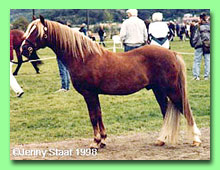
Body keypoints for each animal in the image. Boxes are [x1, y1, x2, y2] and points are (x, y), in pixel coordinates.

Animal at [20, 16, 201, 149]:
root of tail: (172, 54)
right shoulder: (94, 94)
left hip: (172, 90)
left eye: (36, 31)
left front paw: (95, 142)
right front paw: (103, 140)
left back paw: (195, 139)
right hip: (159, 91)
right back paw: (161, 139)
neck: (84, 57)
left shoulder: (89, 94)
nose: (23, 49)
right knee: (166, 111)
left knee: (185, 109)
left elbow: (93, 116)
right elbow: (99, 114)